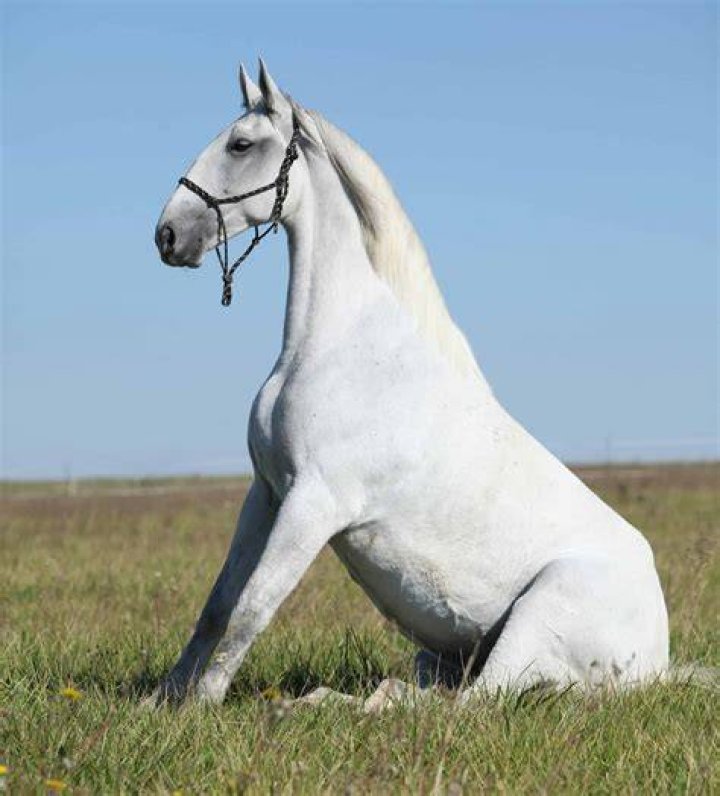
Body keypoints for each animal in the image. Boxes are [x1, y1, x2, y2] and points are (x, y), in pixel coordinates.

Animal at [152, 59, 669, 707]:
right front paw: (160, 702)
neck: (341, 345)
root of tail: (659, 660)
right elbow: (217, 607)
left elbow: (252, 608)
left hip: (529, 628)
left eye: (240, 145)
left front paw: (201, 706)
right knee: (411, 694)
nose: (168, 235)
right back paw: (314, 703)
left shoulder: (312, 504)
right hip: (442, 656)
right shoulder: (266, 493)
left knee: (465, 707)